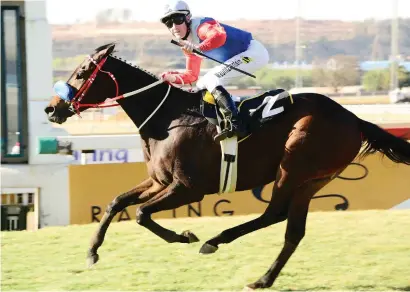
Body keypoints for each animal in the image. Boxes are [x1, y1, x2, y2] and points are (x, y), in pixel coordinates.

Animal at [44, 43, 410, 290]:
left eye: (81, 73)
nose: (52, 109)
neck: (168, 119)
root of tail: (353, 118)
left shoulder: (187, 187)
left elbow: (141, 213)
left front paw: (185, 236)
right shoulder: (159, 181)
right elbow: (116, 202)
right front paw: (92, 253)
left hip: (293, 167)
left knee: (274, 213)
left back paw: (215, 241)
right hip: (313, 180)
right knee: (291, 229)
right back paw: (262, 278)